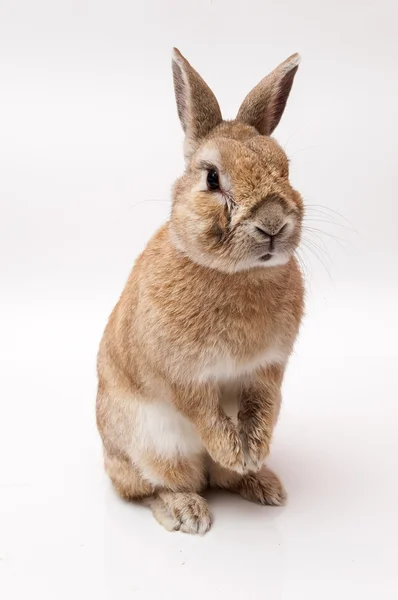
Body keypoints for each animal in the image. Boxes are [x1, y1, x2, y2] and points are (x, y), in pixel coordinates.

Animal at [96, 48, 304, 536]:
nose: (273, 223)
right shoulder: (183, 377)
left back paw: (262, 483)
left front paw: (253, 454)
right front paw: (234, 451)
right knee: (153, 487)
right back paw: (187, 511)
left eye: (286, 169)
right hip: (155, 449)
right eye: (212, 179)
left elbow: (262, 407)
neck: (236, 273)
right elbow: (205, 414)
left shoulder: (267, 370)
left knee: (220, 480)